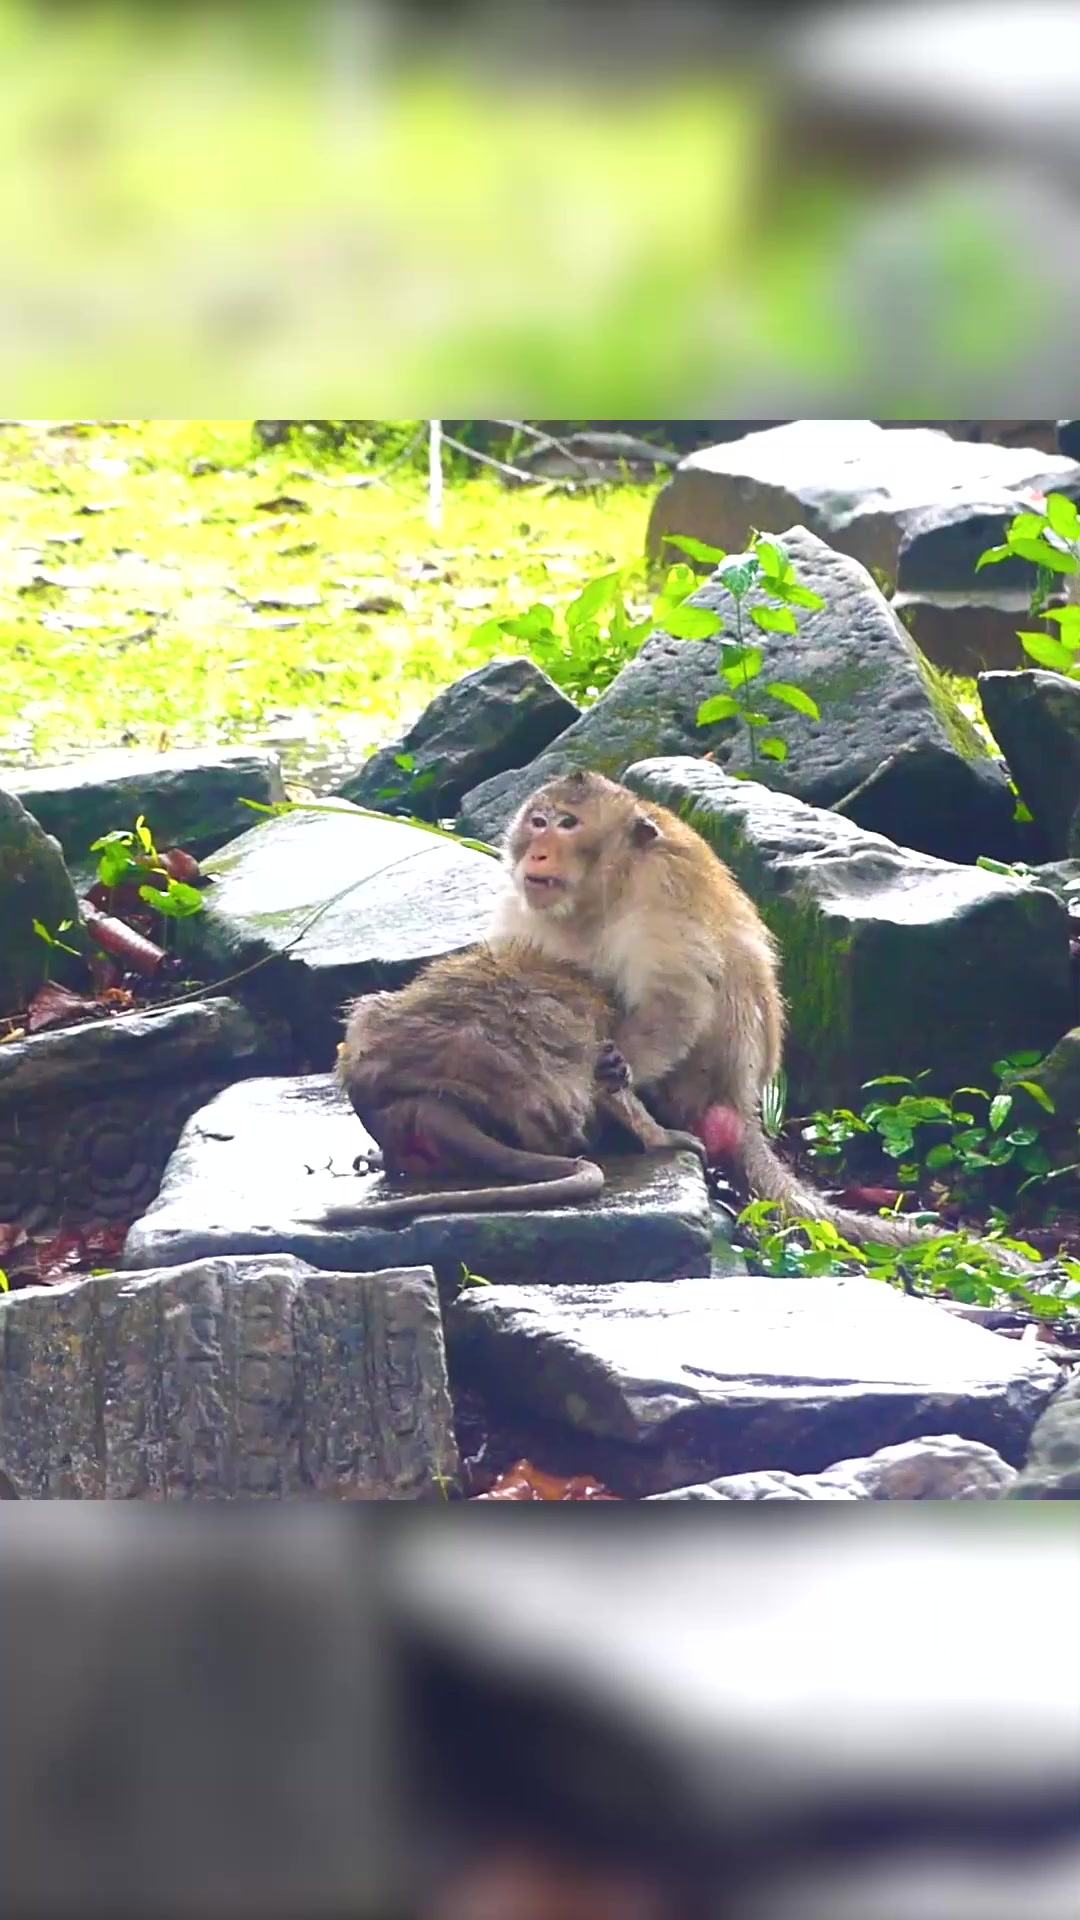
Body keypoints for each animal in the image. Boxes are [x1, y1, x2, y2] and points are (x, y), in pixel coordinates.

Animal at [487, 767, 958, 1254]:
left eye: (568, 824)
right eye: (539, 822)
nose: (538, 851)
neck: (600, 893)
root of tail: (744, 1100)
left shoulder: (663, 887)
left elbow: (678, 998)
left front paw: (618, 1068)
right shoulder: (522, 904)